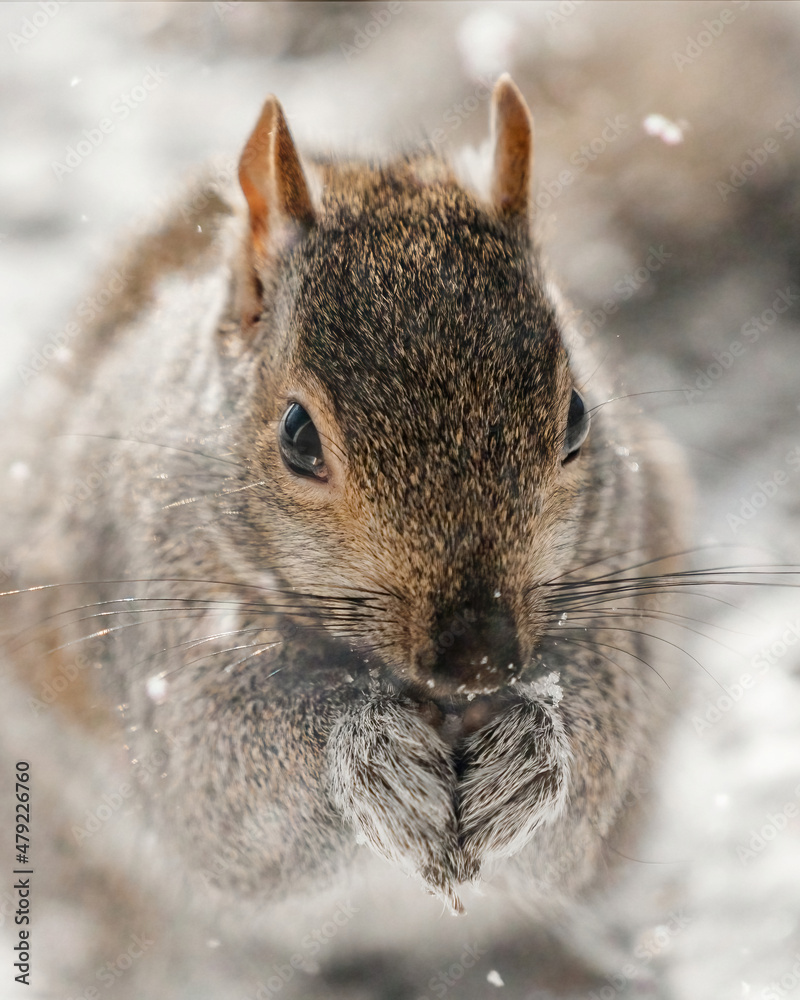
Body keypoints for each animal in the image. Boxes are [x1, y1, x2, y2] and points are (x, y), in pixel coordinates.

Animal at [1, 75, 690, 990]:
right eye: (298, 435)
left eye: (576, 416)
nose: (479, 660)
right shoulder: (161, 635)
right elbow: (227, 788)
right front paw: (375, 757)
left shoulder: (615, 593)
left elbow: (588, 772)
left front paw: (528, 759)